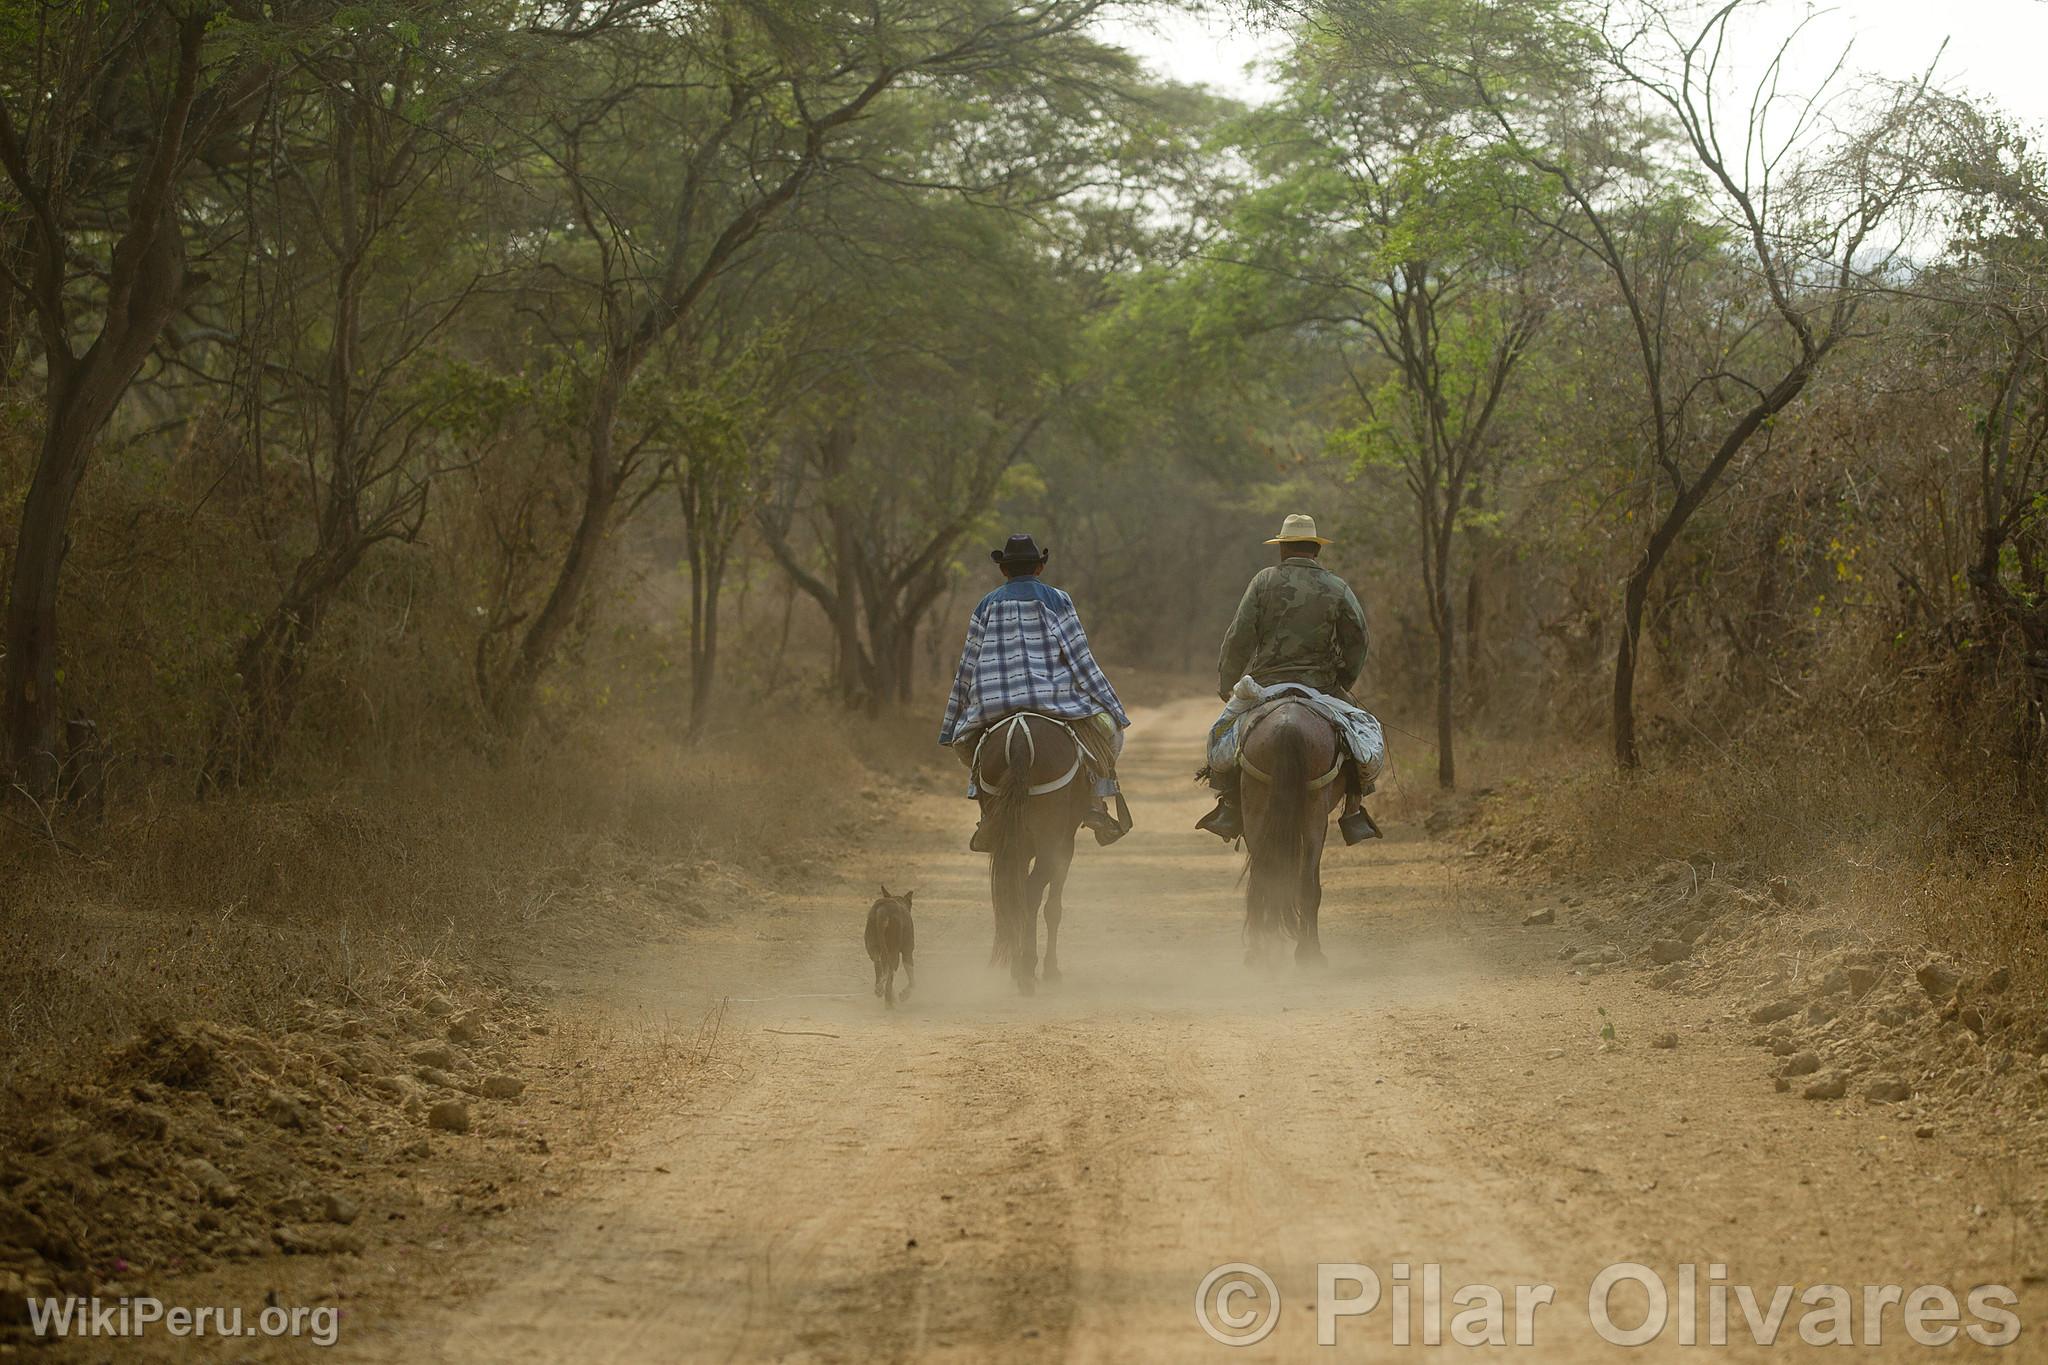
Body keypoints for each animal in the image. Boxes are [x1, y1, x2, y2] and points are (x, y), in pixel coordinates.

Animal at [970, 716, 1089, 994]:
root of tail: (1019, 740)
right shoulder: (1064, 847)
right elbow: (1053, 907)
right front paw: (1051, 970)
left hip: (1011, 836)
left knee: (1013, 892)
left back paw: (1019, 968)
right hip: (1051, 839)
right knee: (1032, 891)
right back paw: (1027, 969)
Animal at [1228, 699, 1343, 965]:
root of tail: (1288, 726)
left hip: (1257, 802)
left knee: (1264, 875)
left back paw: (1264, 953)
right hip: (1313, 810)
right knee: (1302, 881)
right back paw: (1305, 954)